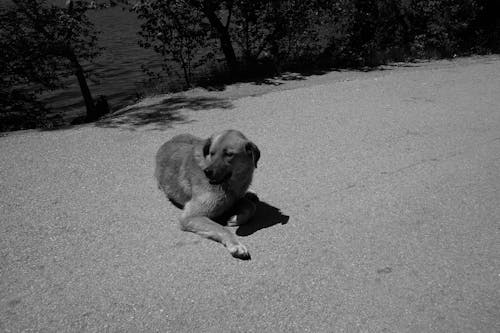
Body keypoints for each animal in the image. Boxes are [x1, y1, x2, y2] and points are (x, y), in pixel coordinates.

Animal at [154, 128, 260, 258]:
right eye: (212, 153)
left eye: (229, 154)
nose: (207, 172)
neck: (229, 185)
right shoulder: (191, 216)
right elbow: (221, 228)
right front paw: (235, 244)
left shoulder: (234, 199)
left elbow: (252, 207)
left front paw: (236, 219)